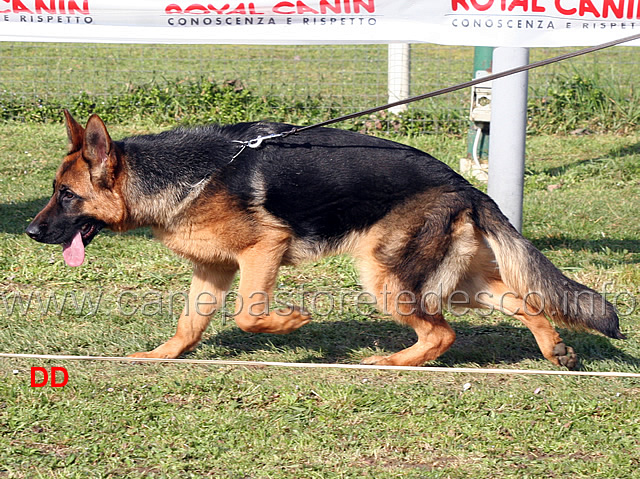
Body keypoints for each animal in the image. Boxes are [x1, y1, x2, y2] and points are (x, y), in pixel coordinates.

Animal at [27, 111, 624, 368]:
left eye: (66, 195)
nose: (30, 231)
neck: (179, 174)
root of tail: (464, 185)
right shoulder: (213, 269)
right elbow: (189, 323)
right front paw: (162, 356)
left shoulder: (261, 251)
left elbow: (249, 314)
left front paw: (291, 321)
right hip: (457, 282)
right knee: (524, 301)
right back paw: (554, 350)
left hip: (386, 279)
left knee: (442, 334)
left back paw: (392, 364)